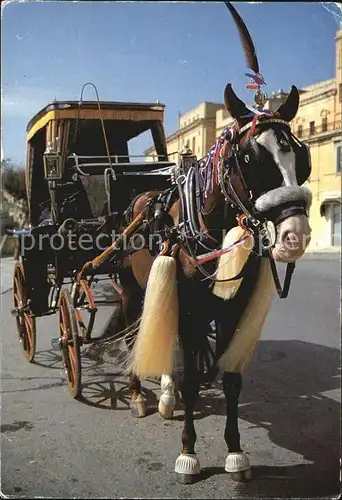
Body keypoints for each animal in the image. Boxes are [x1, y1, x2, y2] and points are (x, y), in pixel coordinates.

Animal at [110, 0, 312, 484]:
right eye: (250, 157)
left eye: (302, 155)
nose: (294, 235)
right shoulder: (187, 301)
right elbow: (187, 375)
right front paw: (189, 453)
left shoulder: (228, 308)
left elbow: (229, 377)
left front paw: (235, 452)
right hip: (131, 287)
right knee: (135, 329)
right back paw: (141, 395)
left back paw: (163, 395)